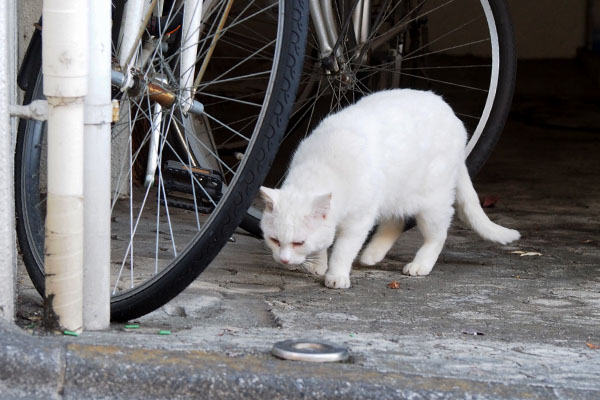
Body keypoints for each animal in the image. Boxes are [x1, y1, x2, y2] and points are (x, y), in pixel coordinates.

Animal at [260, 89, 516, 290]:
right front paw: (318, 264)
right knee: (396, 221)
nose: (283, 260)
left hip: (432, 203)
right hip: (396, 195)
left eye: (298, 243)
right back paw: (372, 255)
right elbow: (324, 241)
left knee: (437, 235)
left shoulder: (359, 220)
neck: (322, 166)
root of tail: (450, 111)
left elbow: (342, 249)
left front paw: (336, 275)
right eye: (273, 240)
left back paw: (420, 264)